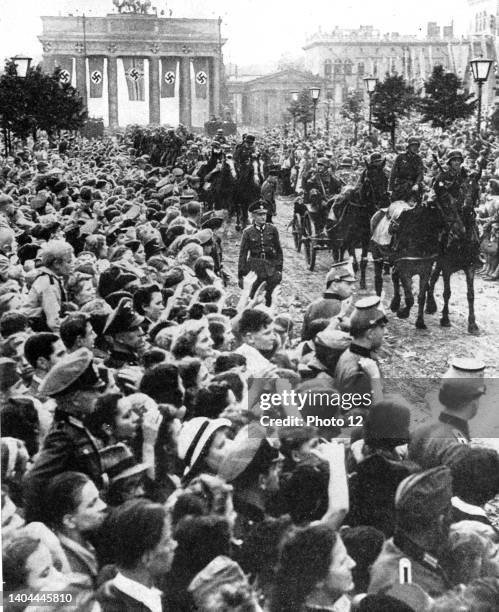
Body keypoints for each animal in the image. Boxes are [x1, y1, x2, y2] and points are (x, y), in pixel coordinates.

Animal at [426, 170, 484, 338]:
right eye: (462, 187)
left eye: (477, 189)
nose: (467, 208)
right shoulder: (447, 266)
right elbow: (447, 292)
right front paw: (445, 319)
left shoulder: (470, 266)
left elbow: (471, 294)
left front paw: (473, 325)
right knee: (430, 278)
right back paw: (430, 305)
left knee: (433, 278)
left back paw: (430, 304)